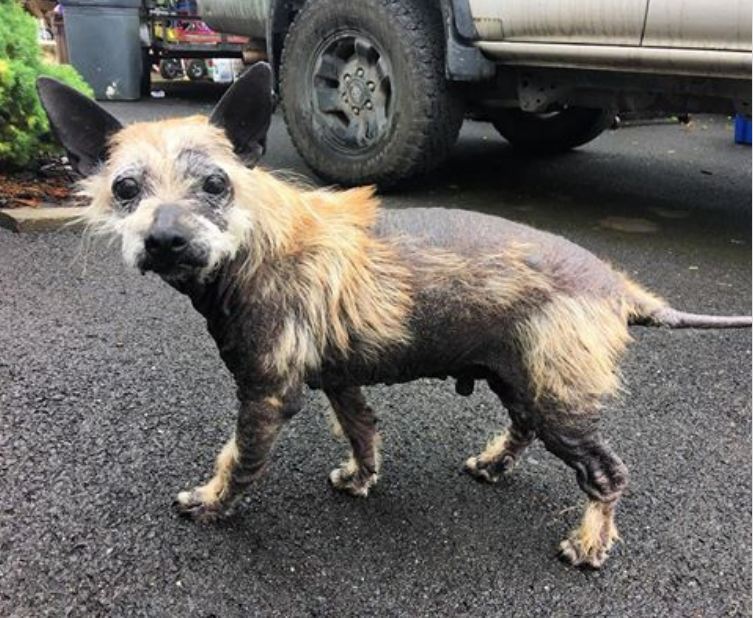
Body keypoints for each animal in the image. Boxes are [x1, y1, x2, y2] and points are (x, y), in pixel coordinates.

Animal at [36, 63, 752, 568]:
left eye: (216, 184)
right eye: (125, 190)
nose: (164, 240)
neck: (253, 243)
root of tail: (617, 285)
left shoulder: (267, 394)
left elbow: (238, 458)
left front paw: (213, 504)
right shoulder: (338, 379)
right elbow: (361, 430)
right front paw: (362, 477)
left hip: (561, 403)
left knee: (607, 473)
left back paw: (591, 542)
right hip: (521, 377)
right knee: (522, 425)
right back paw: (495, 465)